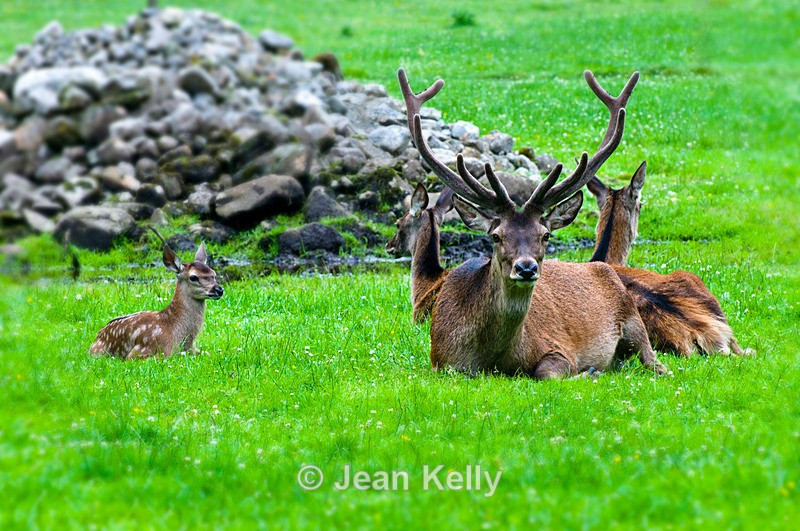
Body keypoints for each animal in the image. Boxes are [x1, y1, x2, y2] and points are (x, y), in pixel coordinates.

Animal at [89, 228, 224, 359]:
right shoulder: (142, 352)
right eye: (193, 277)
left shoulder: (195, 349)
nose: (219, 290)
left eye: (214, 273)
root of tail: (97, 337)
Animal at [398, 68, 667, 378]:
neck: (494, 359)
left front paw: (588, 371)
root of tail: (604, 267)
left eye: (546, 234)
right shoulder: (441, 362)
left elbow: (547, 372)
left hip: (634, 322)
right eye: (496, 235)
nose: (526, 268)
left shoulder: (559, 348)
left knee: (658, 364)